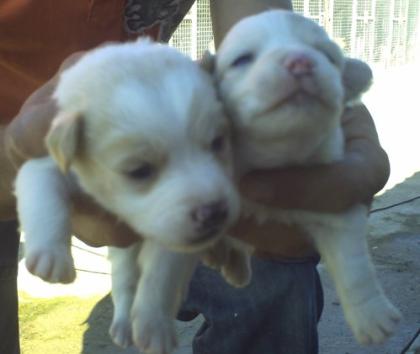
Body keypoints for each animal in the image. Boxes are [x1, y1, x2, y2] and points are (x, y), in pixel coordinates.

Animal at [16, 39, 251, 354]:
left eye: (217, 143)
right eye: (139, 170)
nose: (215, 213)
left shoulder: (170, 230)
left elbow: (160, 275)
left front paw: (155, 324)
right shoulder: (43, 157)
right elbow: (43, 194)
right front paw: (50, 256)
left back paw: (234, 262)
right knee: (125, 282)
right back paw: (125, 323)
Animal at [215, 10, 402, 346]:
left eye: (327, 55)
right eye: (242, 59)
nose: (300, 61)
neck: (277, 157)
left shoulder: (336, 201)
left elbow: (354, 267)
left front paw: (372, 317)